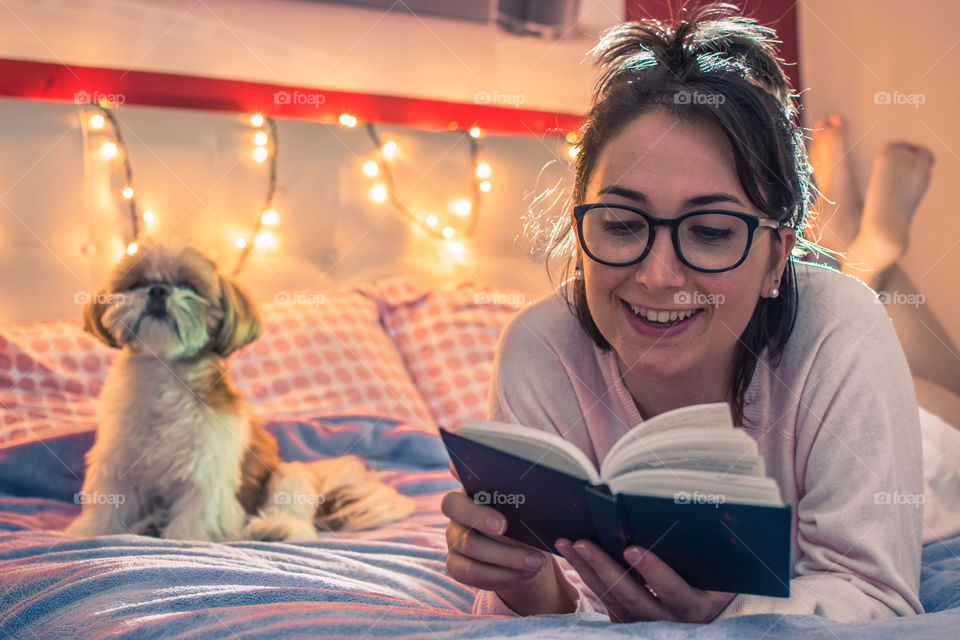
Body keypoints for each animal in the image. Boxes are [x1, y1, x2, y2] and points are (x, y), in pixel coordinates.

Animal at [66, 240, 412, 540]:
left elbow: (198, 517)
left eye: (189, 287)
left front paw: (183, 540)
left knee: (292, 512)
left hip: (287, 475)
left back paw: (273, 528)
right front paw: (90, 531)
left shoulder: (208, 469)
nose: (158, 289)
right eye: (136, 283)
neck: (165, 373)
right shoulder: (117, 462)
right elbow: (108, 506)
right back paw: (151, 523)